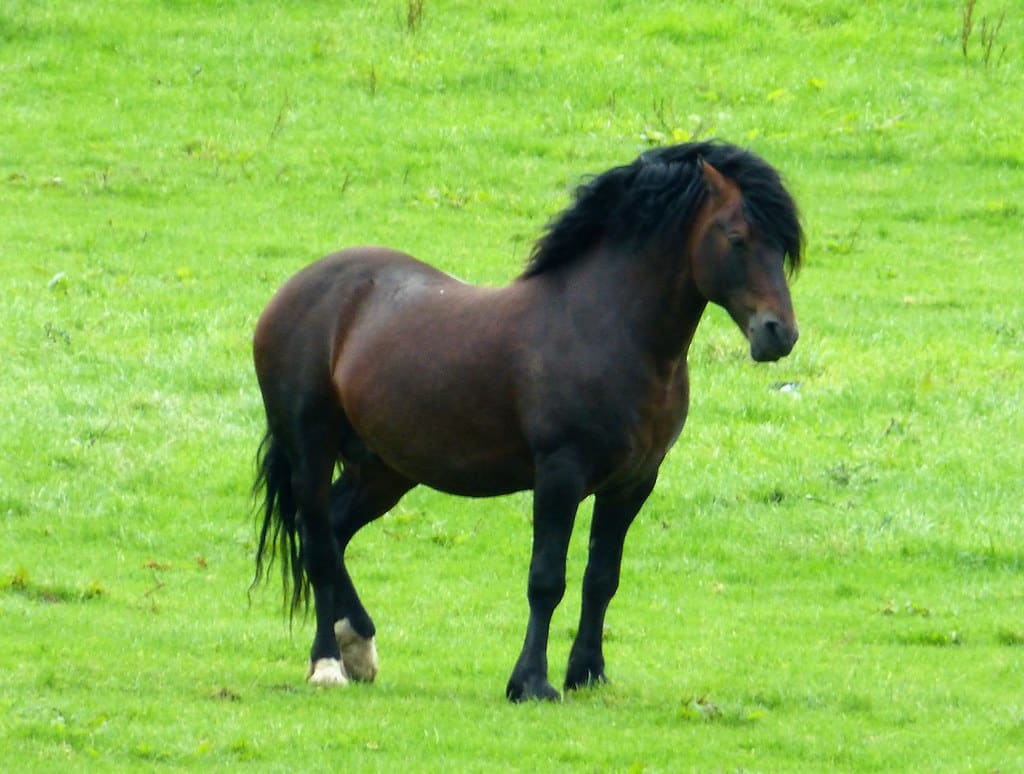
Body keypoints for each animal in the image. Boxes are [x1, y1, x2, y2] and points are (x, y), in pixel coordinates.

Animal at [251, 140, 803, 701]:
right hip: (311, 448)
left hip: (383, 469)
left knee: (335, 530)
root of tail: (296, 290)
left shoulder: (633, 483)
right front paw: (531, 681)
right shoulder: (560, 475)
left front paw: (588, 672)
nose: (778, 333)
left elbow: (602, 578)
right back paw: (327, 662)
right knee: (316, 540)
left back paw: (358, 645)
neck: (606, 329)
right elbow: (546, 580)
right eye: (737, 238)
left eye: (782, 246)